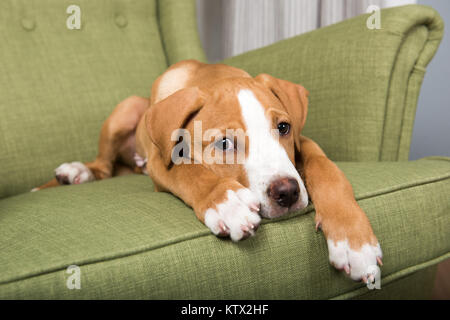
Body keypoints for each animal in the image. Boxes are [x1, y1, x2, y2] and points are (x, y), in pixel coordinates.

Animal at [34, 60, 384, 282]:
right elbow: (189, 173)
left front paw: (353, 240)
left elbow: (326, 169)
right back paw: (77, 171)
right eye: (225, 143)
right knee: (104, 165)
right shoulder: (162, 162)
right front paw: (227, 204)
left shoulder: (301, 142)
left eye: (284, 127)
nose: (286, 192)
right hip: (127, 108)